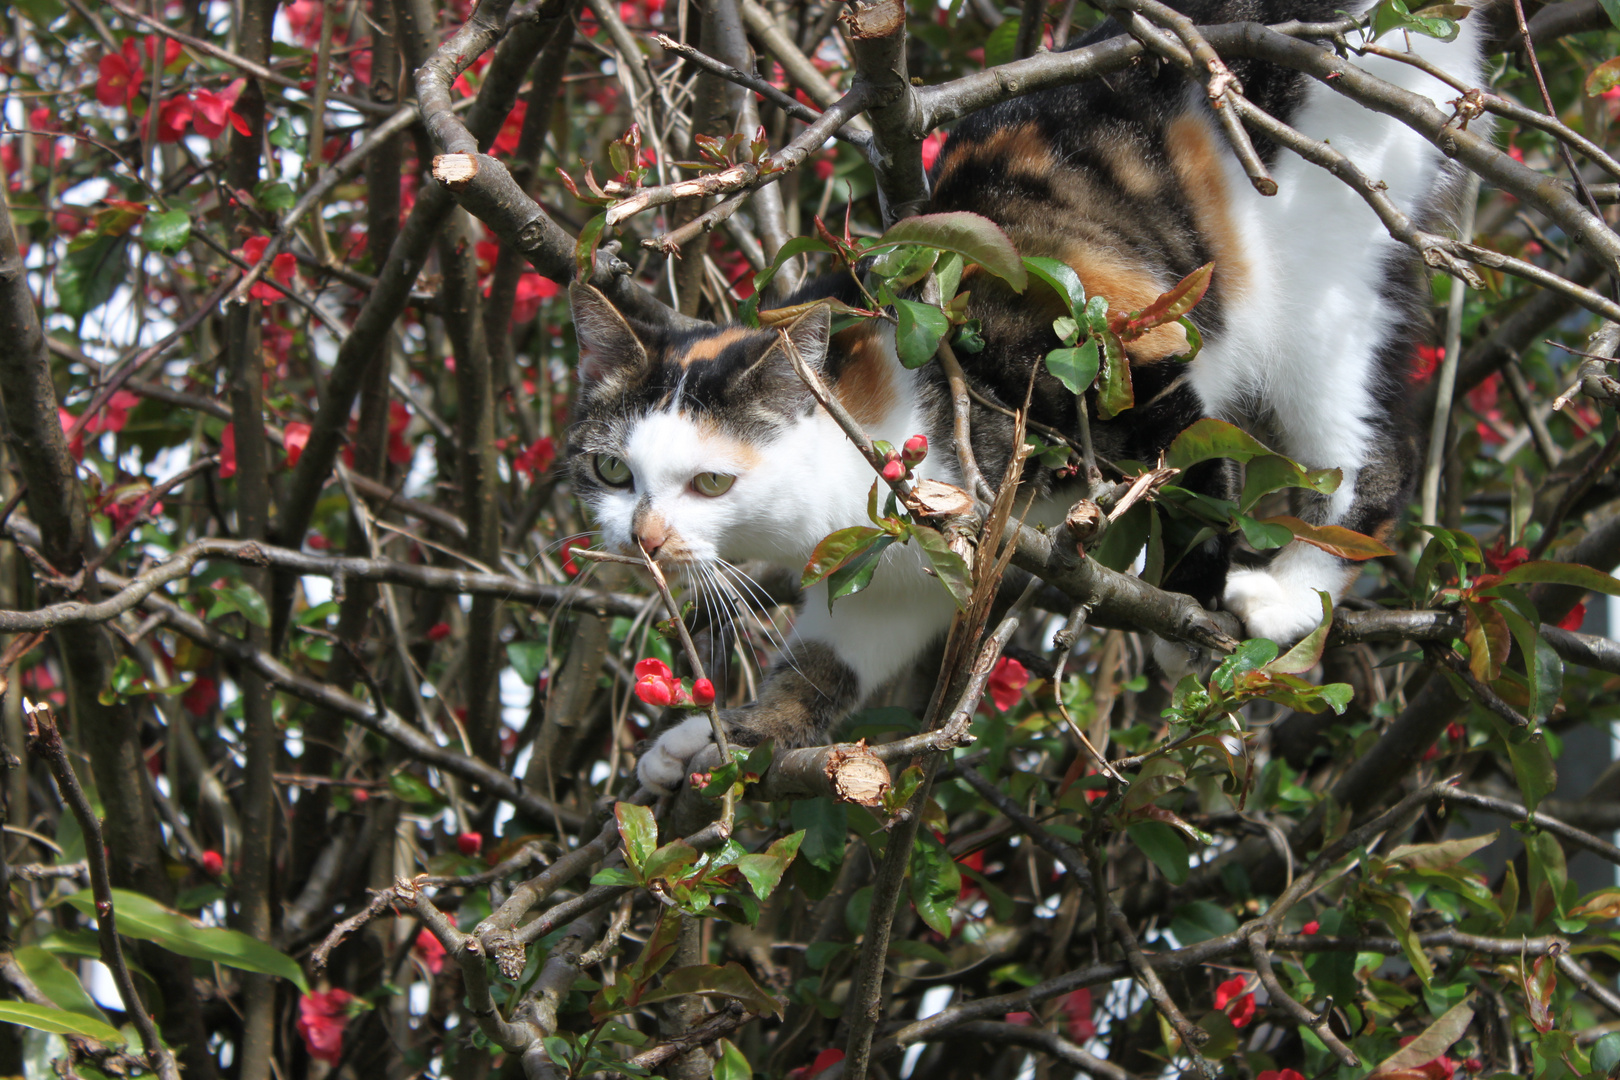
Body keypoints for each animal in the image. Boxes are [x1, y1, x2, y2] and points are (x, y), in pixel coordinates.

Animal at [567, 0, 1483, 790]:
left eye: (710, 481)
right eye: (611, 473)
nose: (643, 538)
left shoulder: (1098, 350)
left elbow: (1188, 479)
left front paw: (1193, 618)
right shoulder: (891, 581)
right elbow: (822, 666)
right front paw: (726, 736)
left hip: (1322, 291)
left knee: (1370, 453)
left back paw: (1290, 589)